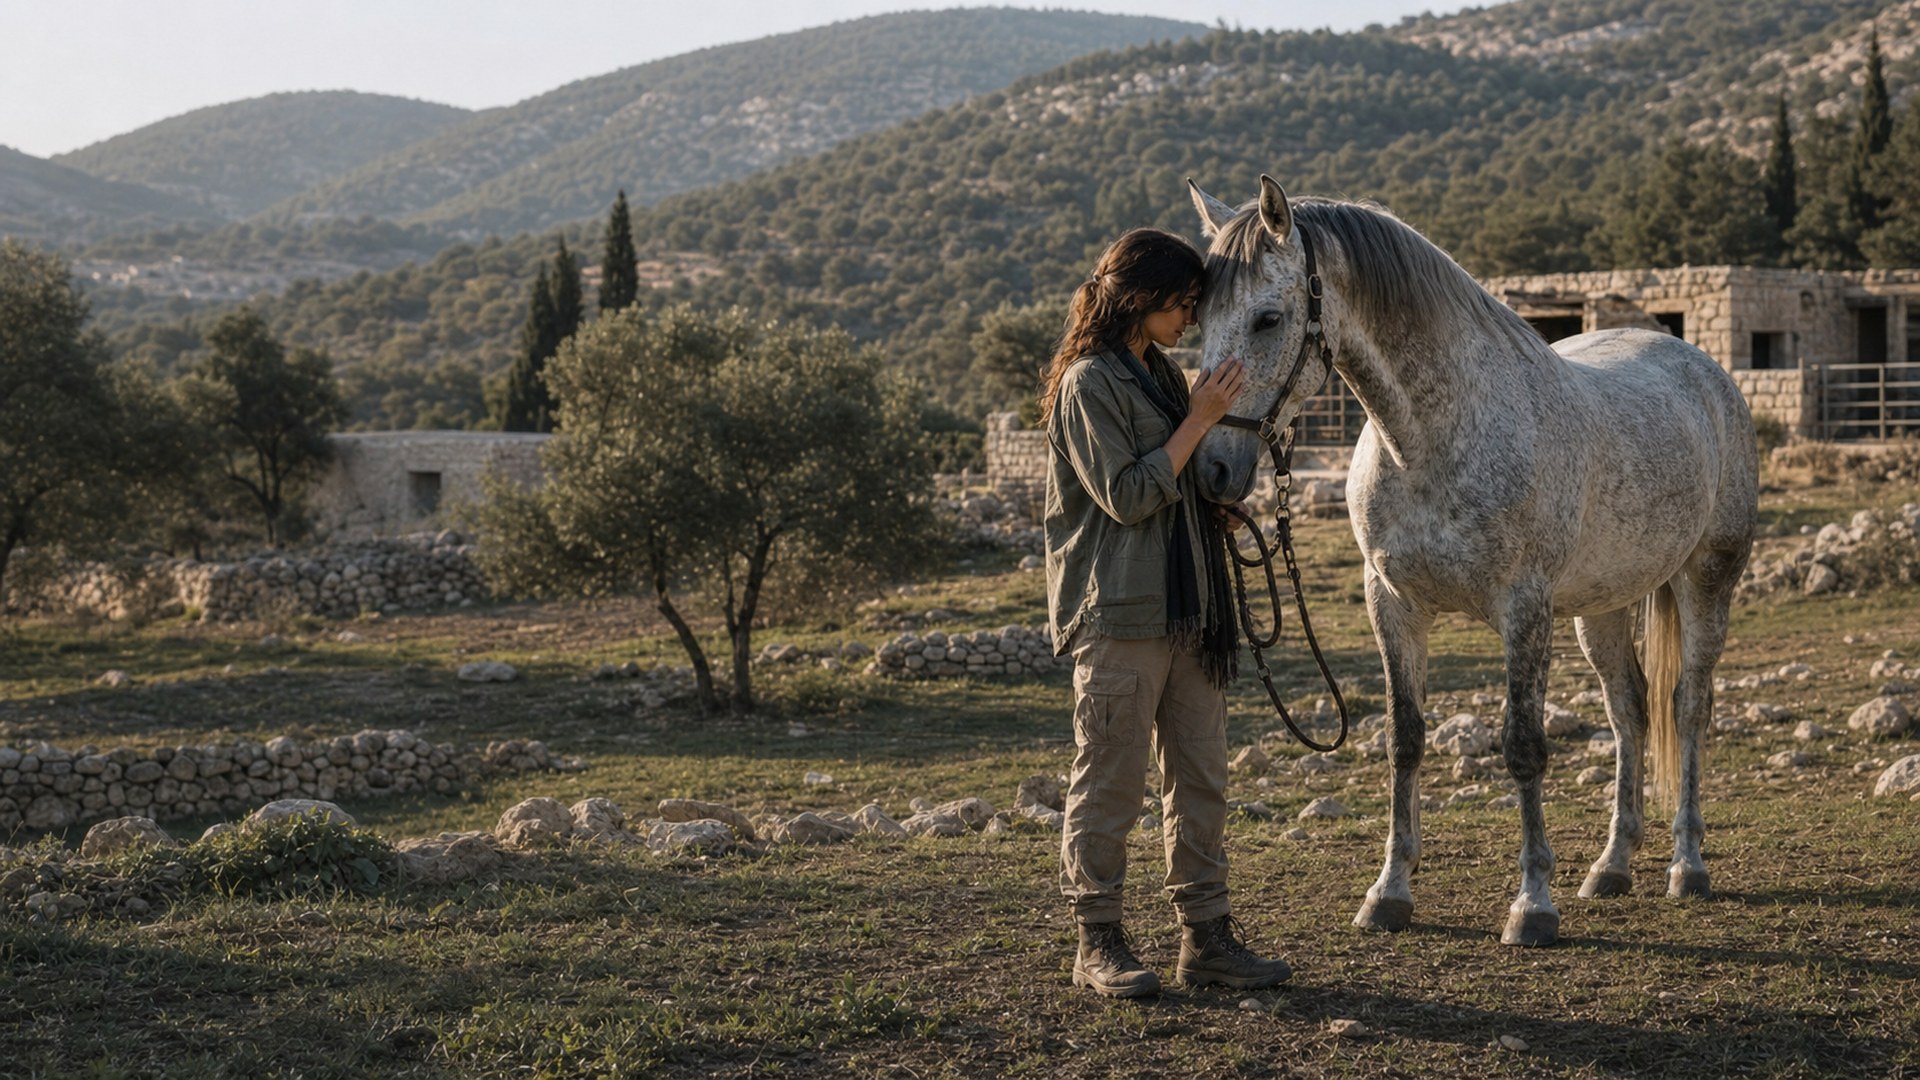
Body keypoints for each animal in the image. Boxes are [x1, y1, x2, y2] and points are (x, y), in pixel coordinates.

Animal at [1185, 175, 1757, 946]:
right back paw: (1611, 866)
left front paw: (1532, 904)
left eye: (1268, 318)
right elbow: (1404, 740)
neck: (1430, 440)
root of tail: (1700, 365)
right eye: (1200, 318)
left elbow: (1523, 747)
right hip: (1603, 607)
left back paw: (1686, 866)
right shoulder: (1392, 604)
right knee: (1630, 713)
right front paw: (1389, 892)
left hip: (1706, 579)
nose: (1211, 469)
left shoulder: (1524, 609)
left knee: (1688, 706)